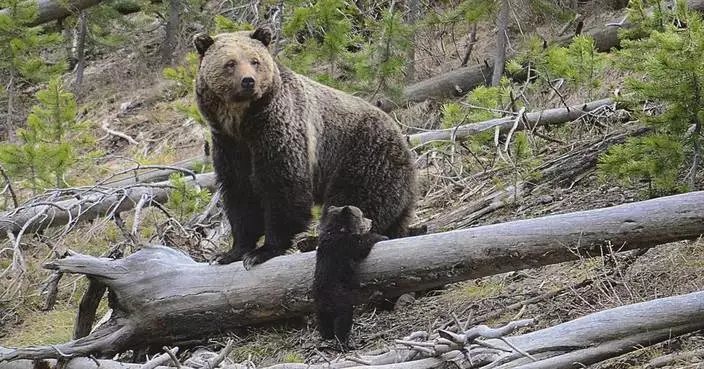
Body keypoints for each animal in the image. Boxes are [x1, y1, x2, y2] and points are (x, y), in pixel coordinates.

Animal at [192, 25, 418, 268]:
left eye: (255, 61)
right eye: (230, 63)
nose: (248, 81)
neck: (242, 123)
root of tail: (403, 139)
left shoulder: (279, 132)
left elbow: (283, 187)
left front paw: (263, 251)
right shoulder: (229, 146)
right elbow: (240, 194)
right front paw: (230, 252)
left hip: (365, 156)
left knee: (356, 201)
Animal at [316, 206, 388, 346]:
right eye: (362, 215)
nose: (371, 221)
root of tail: (325, 301)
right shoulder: (344, 245)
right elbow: (361, 245)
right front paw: (382, 236)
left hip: (320, 308)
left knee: (324, 323)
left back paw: (327, 335)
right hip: (339, 298)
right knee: (344, 318)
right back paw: (343, 342)